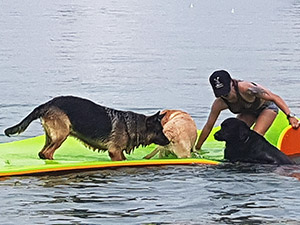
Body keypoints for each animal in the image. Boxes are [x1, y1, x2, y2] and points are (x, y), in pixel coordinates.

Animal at [4, 96, 169, 161]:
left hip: (51, 137)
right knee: (47, 153)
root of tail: (46, 104)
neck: (133, 125)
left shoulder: (119, 153)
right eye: (160, 131)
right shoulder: (115, 152)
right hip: (62, 135)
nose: (168, 142)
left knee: (42, 153)